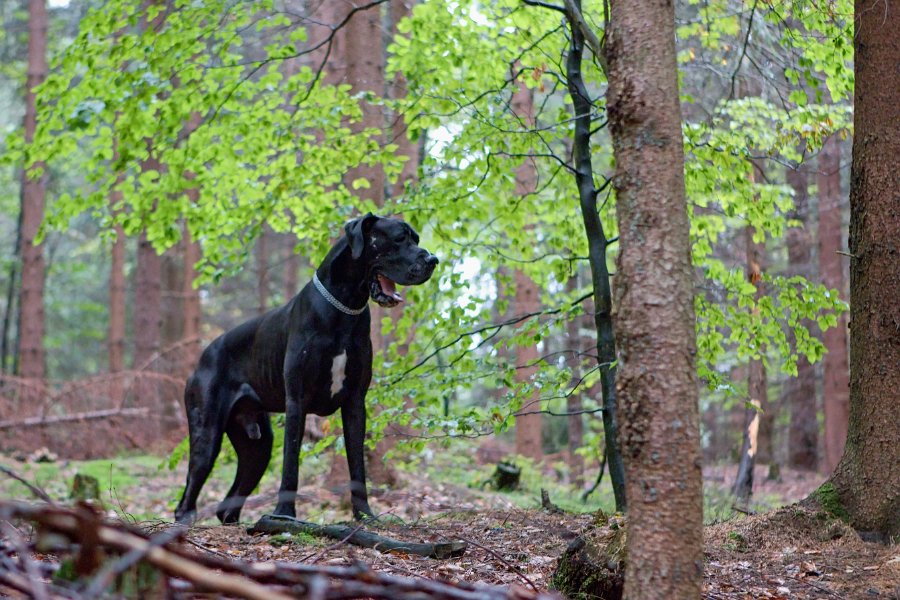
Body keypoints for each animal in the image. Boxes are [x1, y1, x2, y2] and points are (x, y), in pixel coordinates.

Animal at [174, 213, 438, 524]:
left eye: (417, 239)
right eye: (399, 238)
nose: (433, 259)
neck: (344, 310)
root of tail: (203, 356)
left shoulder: (355, 404)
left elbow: (357, 467)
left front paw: (365, 516)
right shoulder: (296, 402)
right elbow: (291, 465)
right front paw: (284, 516)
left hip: (257, 447)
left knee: (228, 503)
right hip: (207, 434)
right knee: (189, 492)